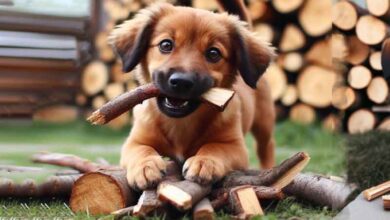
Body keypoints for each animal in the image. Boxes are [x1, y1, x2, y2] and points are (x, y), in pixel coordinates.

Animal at [108, 0, 276, 190]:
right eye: (166, 45)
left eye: (213, 53)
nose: (181, 82)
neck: (181, 122)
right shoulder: (134, 141)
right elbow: (141, 149)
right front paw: (145, 166)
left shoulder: (236, 147)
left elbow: (214, 147)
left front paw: (205, 162)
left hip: (264, 123)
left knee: (266, 146)